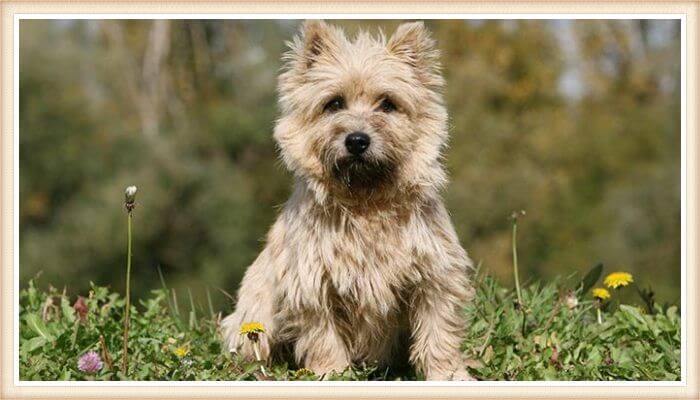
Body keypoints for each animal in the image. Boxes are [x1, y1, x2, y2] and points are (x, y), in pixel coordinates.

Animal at [223, 19, 476, 382]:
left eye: (388, 104)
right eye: (334, 104)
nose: (357, 140)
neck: (365, 203)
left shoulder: (434, 277)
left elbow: (438, 332)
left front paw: (449, 375)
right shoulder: (312, 286)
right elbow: (324, 339)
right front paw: (332, 374)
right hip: (255, 319)